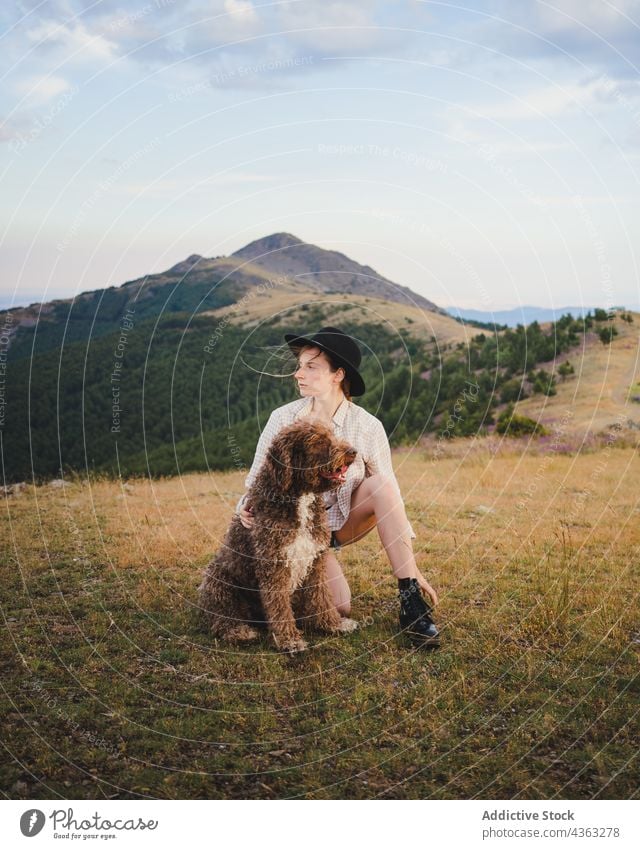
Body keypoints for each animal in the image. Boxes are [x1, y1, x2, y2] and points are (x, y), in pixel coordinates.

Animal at [199, 420, 358, 652]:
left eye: (332, 434)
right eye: (318, 441)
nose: (353, 452)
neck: (298, 496)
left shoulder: (315, 561)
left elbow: (321, 597)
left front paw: (332, 624)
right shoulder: (274, 565)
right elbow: (279, 607)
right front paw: (289, 640)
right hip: (218, 580)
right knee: (221, 620)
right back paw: (239, 631)